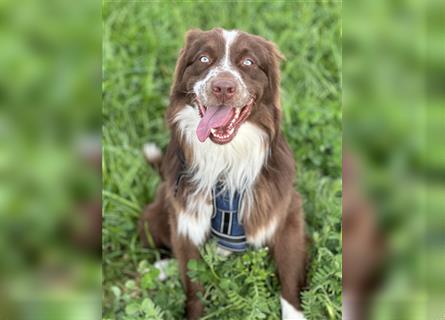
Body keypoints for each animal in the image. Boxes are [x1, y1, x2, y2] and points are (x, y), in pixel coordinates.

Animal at [140, 28, 308, 320]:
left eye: (249, 62)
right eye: (204, 58)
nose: (223, 88)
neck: (226, 158)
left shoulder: (287, 213)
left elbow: (288, 278)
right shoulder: (186, 222)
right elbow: (193, 286)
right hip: (157, 211)